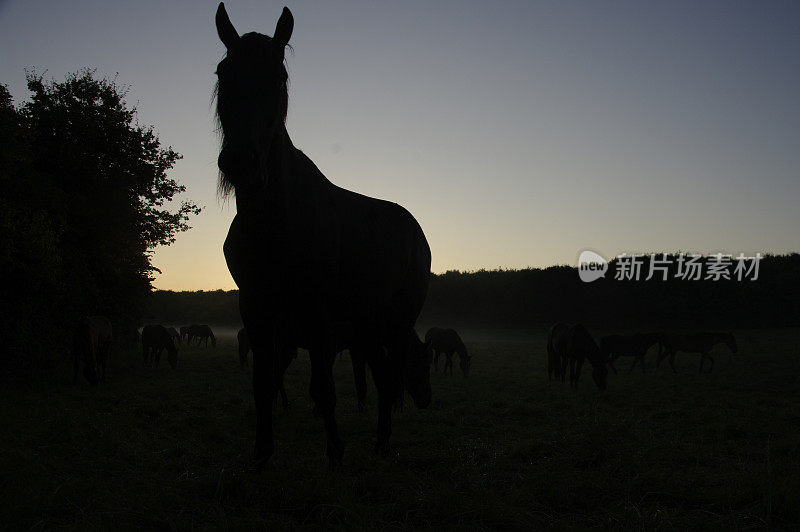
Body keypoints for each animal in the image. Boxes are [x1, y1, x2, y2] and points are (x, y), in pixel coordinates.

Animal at [212, 5, 432, 470]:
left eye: (279, 77)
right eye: (224, 72)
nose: (241, 161)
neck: (275, 220)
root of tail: (416, 232)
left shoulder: (316, 316)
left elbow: (324, 390)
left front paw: (335, 452)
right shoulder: (255, 309)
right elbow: (263, 383)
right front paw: (262, 454)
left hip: (396, 322)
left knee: (389, 379)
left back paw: (382, 444)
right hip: (367, 326)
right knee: (382, 377)